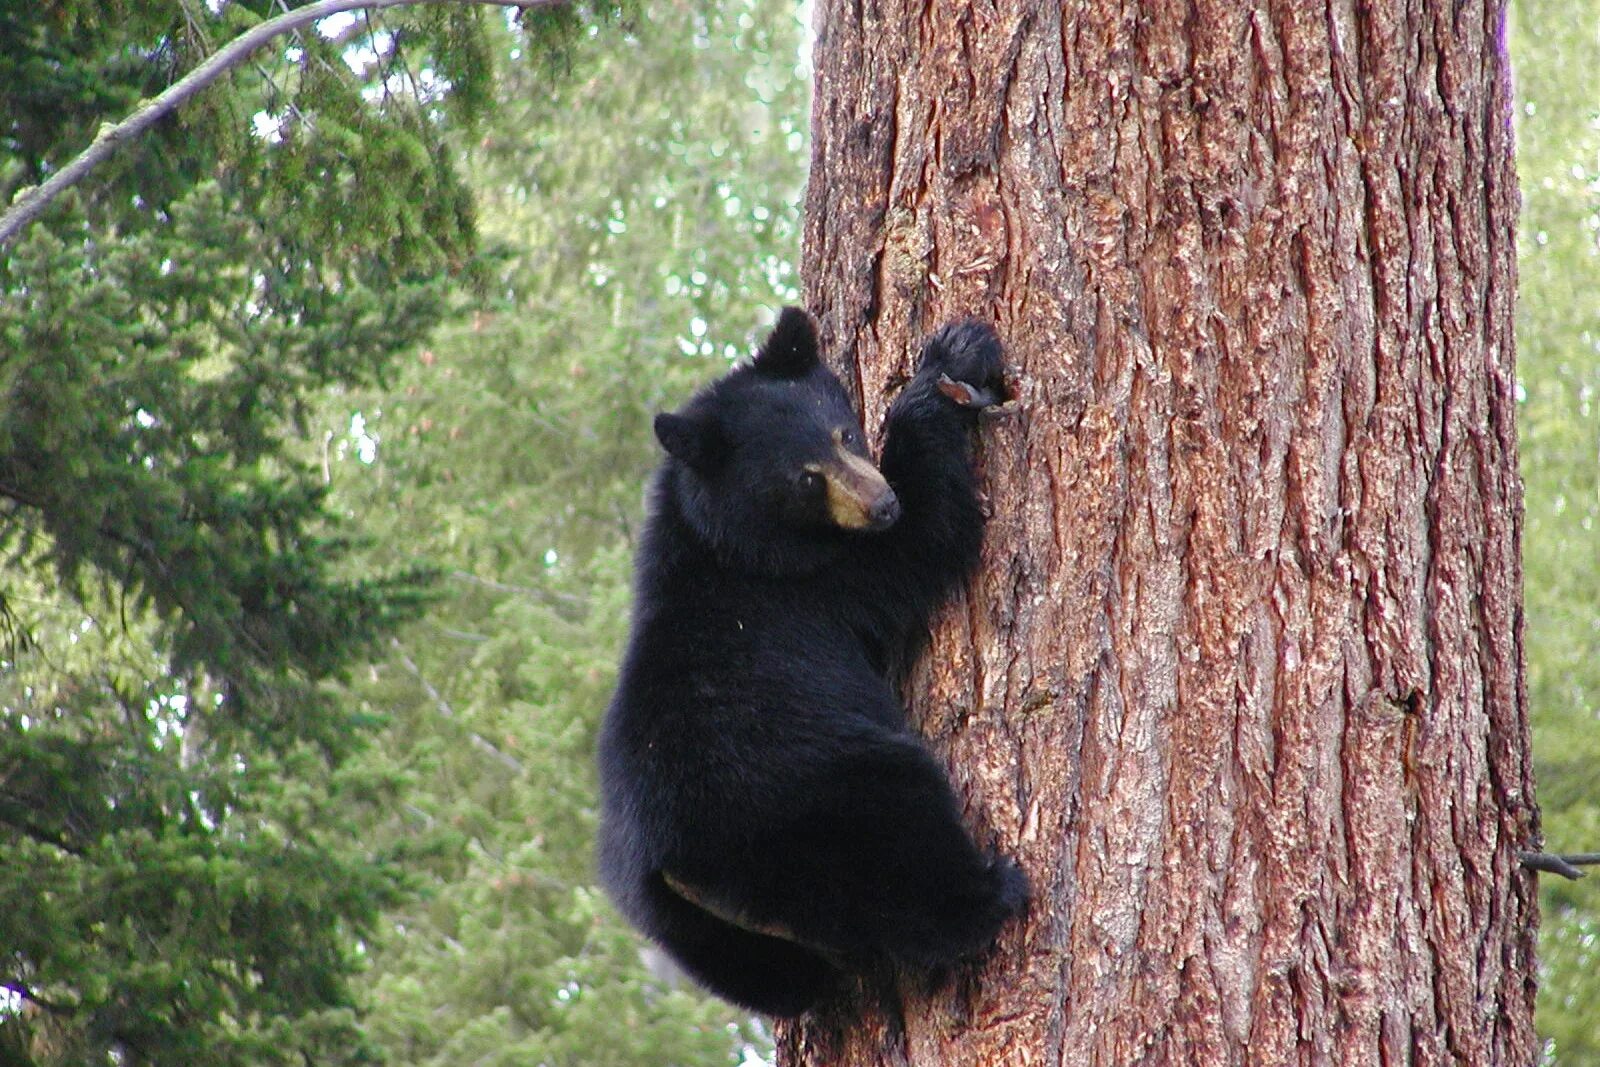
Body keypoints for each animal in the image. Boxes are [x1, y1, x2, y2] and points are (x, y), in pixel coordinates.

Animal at [598, 308, 1024, 1017]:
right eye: (804, 477)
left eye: (844, 433)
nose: (881, 504)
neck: (716, 539)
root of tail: (679, 871)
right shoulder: (817, 583)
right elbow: (927, 536)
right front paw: (950, 365)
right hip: (814, 810)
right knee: (902, 847)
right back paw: (995, 893)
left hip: (688, 931)